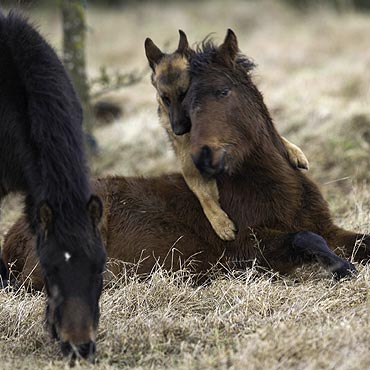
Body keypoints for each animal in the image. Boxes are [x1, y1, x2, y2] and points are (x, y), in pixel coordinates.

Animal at [145, 29, 310, 243]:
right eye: (165, 98)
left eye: (184, 94)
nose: (179, 130)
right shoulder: (190, 167)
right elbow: (205, 197)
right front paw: (221, 223)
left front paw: (294, 151)